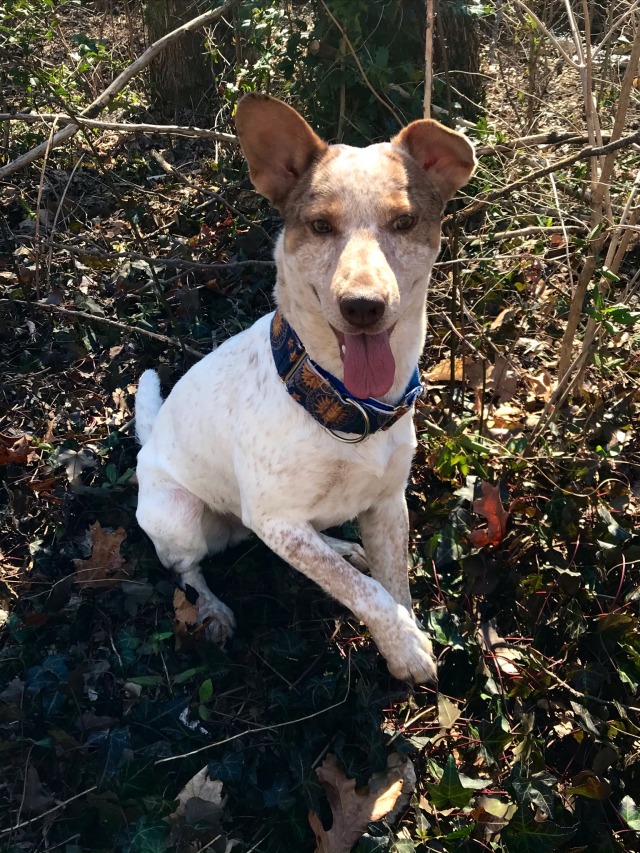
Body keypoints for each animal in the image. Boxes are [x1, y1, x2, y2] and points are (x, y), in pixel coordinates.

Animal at [135, 93, 476, 684]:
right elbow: (363, 591)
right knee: (187, 570)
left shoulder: (388, 503)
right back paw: (213, 609)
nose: (362, 307)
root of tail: (148, 440)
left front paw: (403, 639)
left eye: (405, 221)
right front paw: (405, 646)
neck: (345, 407)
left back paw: (342, 544)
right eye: (319, 225)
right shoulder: (276, 520)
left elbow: (393, 585)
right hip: (178, 514)